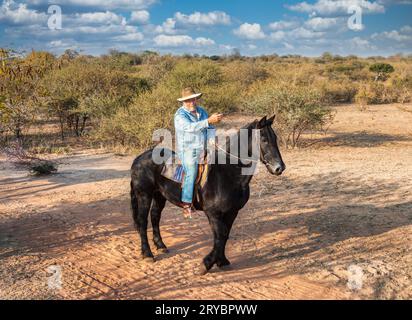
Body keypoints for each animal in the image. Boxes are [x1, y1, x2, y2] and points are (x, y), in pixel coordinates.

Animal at [130, 116, 284, 274]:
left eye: (275, 138)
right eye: (264, 139)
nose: (279, 167)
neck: (228, 173)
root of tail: (139, 159)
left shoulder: (232, 212)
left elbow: (225, 234)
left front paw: (221, 261)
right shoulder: (213, 213)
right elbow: (220, 234)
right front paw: (207, 263)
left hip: (159, 196)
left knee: (155, 217)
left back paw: (161, 246)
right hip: (144, 195)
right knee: (143, 221)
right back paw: (147, 254)